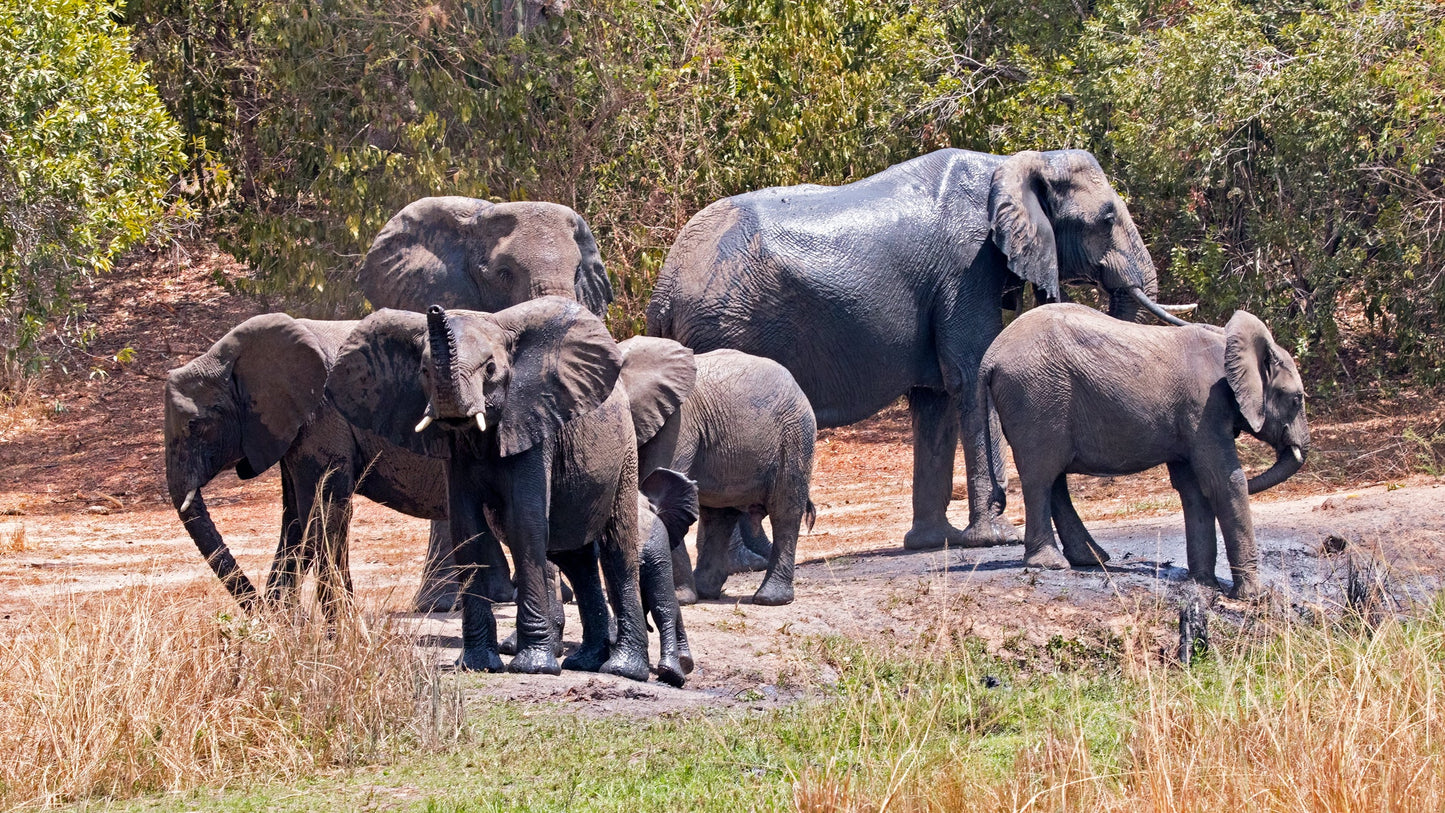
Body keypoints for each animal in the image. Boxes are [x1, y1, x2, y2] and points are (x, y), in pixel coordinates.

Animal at [164, 314, 517, 615]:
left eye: (195, 426)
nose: (260, 613)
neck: (230, 354)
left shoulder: (322, 415)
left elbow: (322, 515)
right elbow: (296, 520)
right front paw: (286, 628)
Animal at [618, 340, 820, 606]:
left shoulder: (679, 422)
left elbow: (662, 485)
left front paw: (680, 599)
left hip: (795, 434)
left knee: (784, 511)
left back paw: (771, 598)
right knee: (719, 517)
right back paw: (705, 591)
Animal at [650, 148, 1190, 554]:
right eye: (1106, 219)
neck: (1014, 162)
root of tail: (664, 286)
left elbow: (936, 398)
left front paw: (936, 543)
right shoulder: (967, 267)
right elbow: (969, 372)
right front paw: (994, 537)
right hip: (727, 325)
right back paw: (748, 562)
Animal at [982, 303, 1312, 597]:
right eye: (1296, 399)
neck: (1228, 342)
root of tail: (991, 356)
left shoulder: (1191, 420)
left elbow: (1193, 488)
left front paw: (1204, 586)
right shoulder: (1205, 408)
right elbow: (1223, 482)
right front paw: (1252, 597)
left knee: (1055, 479)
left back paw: (1090, 559)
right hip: (1036, 396)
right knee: (1041, 476)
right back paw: (1051, 564)